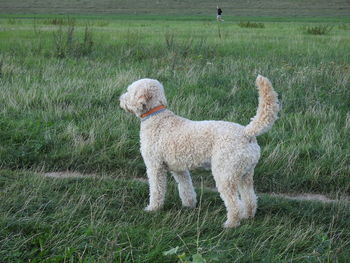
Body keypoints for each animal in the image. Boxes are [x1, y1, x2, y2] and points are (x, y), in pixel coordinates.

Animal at [119, 75, 278, 228]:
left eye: (129, 91)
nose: (120, 100)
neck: (157, 117)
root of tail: (247, 132)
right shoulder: (179, 168)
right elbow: (185, 187)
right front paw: (189, 205)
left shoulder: (155, 166)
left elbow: (156, 190)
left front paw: (153, 208)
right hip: (245, 174)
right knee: (250, 198)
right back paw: (247, 216)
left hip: (225, 174)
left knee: (234, 203)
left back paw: (231, 224)